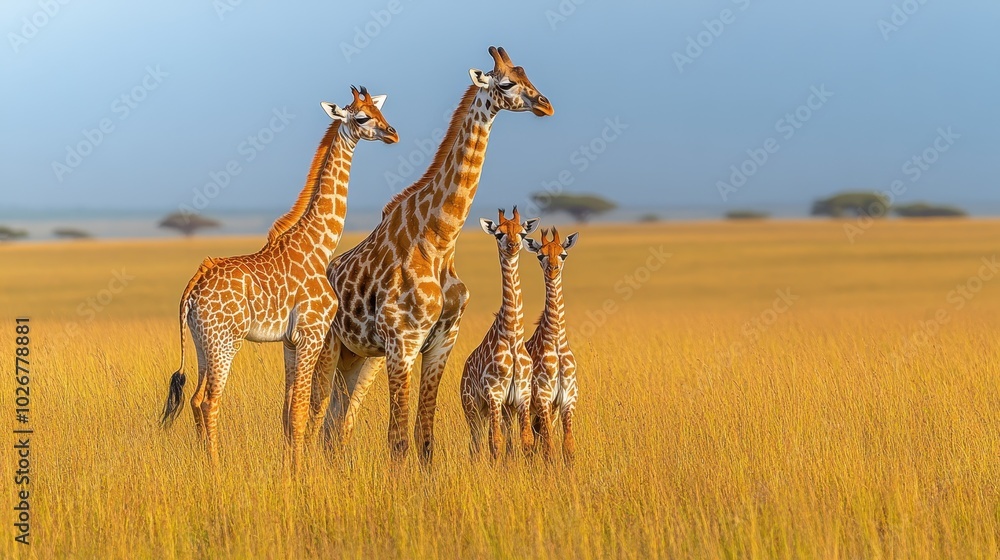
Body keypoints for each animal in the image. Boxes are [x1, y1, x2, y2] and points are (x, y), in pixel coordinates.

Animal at [159, 86, 398, 468]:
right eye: (362, 117)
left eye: (380, 110)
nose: (393, 134)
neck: (319, 245)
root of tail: (194, 287)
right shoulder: (312, 334)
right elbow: (300, 410)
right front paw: (301, 473)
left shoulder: (289, 342)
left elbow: (286, 412)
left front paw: (289, 469)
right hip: (225, 342)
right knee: (209, 401)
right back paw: (216, 467)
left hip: (200, 341)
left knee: (195, 399)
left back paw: (205, 462)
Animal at [460, 207, 539, 459]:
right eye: (499, 233)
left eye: (522, 233)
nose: (513, 246)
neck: (512, 336)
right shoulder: (494, 392)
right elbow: (495, 442)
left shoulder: (521, 394)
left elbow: (525, 441)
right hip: (473, 407)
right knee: (476, 443)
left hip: (503, 409)